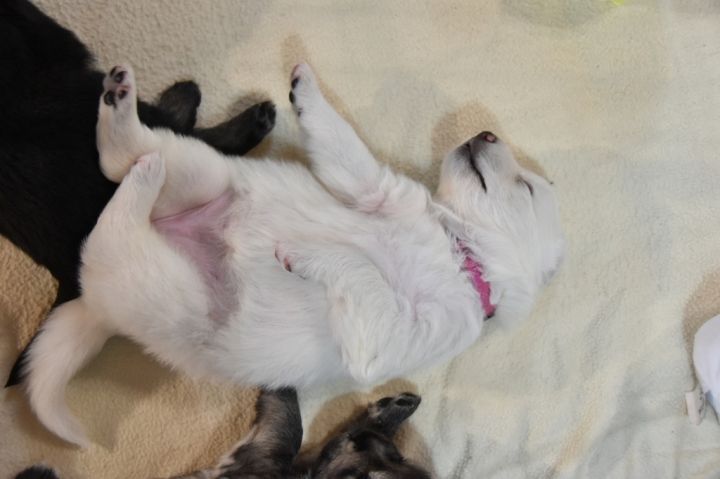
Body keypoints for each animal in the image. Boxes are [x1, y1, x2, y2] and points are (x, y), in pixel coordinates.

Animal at [24, 62, 565, 446]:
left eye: (527, 188)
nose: (486, 132)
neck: (457, 251)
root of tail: (90, 304)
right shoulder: (376, 189)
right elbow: (346, 151)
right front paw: (305, 87)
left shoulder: (398, 334)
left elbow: (363, 275)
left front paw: (305, 256)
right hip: (206, 174)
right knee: (121, 161)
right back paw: (121, 105)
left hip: (169, 289)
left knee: (114, 224)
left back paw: (140, 173)